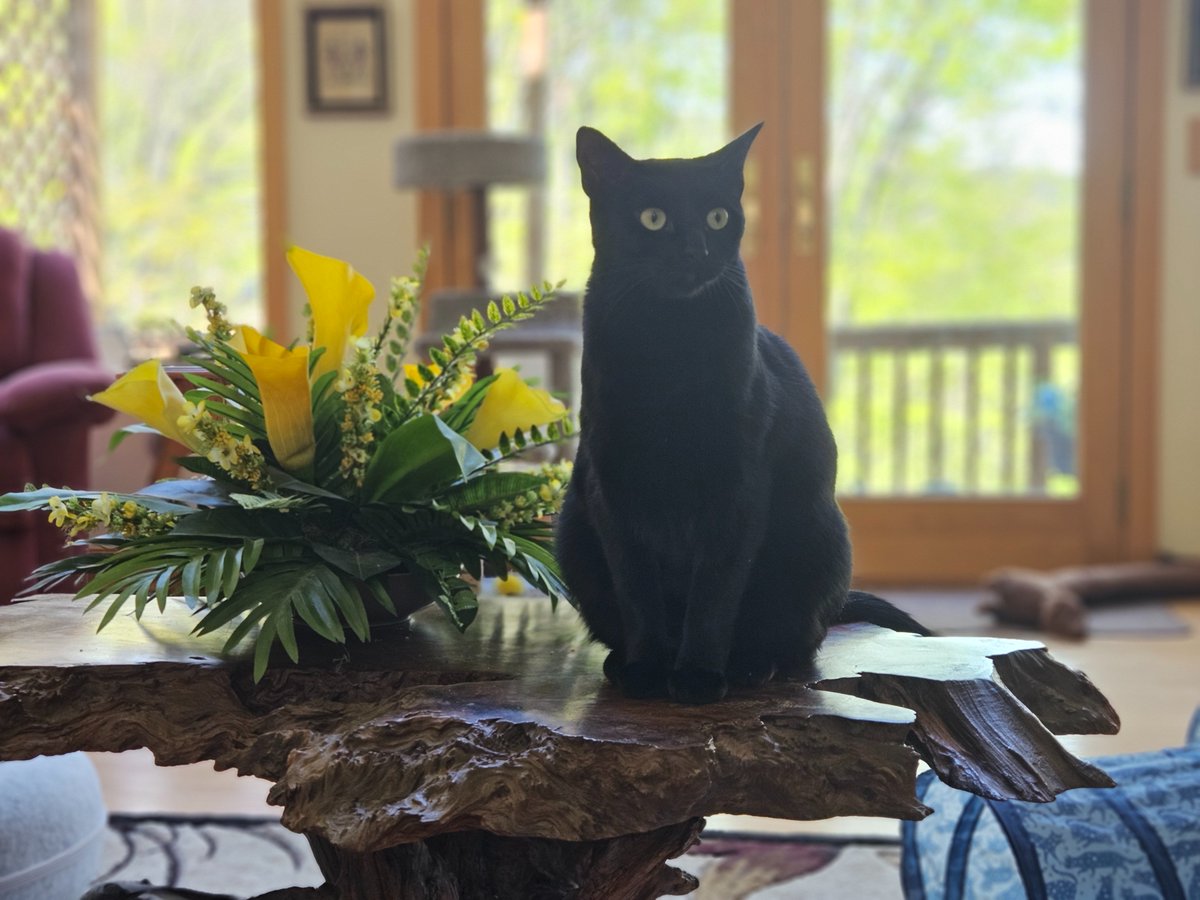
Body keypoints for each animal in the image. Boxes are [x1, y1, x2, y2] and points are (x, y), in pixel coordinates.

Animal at [554, 125, 926, 705]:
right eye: (653, 217)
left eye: (717, 217)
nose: (695, 249)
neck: (669, 351)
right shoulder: (610, 488)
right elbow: (638, 591)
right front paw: (647, 669)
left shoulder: (739, 489)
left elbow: (714, 593)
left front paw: (697, 676)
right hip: (572, 533)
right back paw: (623, 663)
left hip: (818, 537)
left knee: (797, 640)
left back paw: (751, 665)